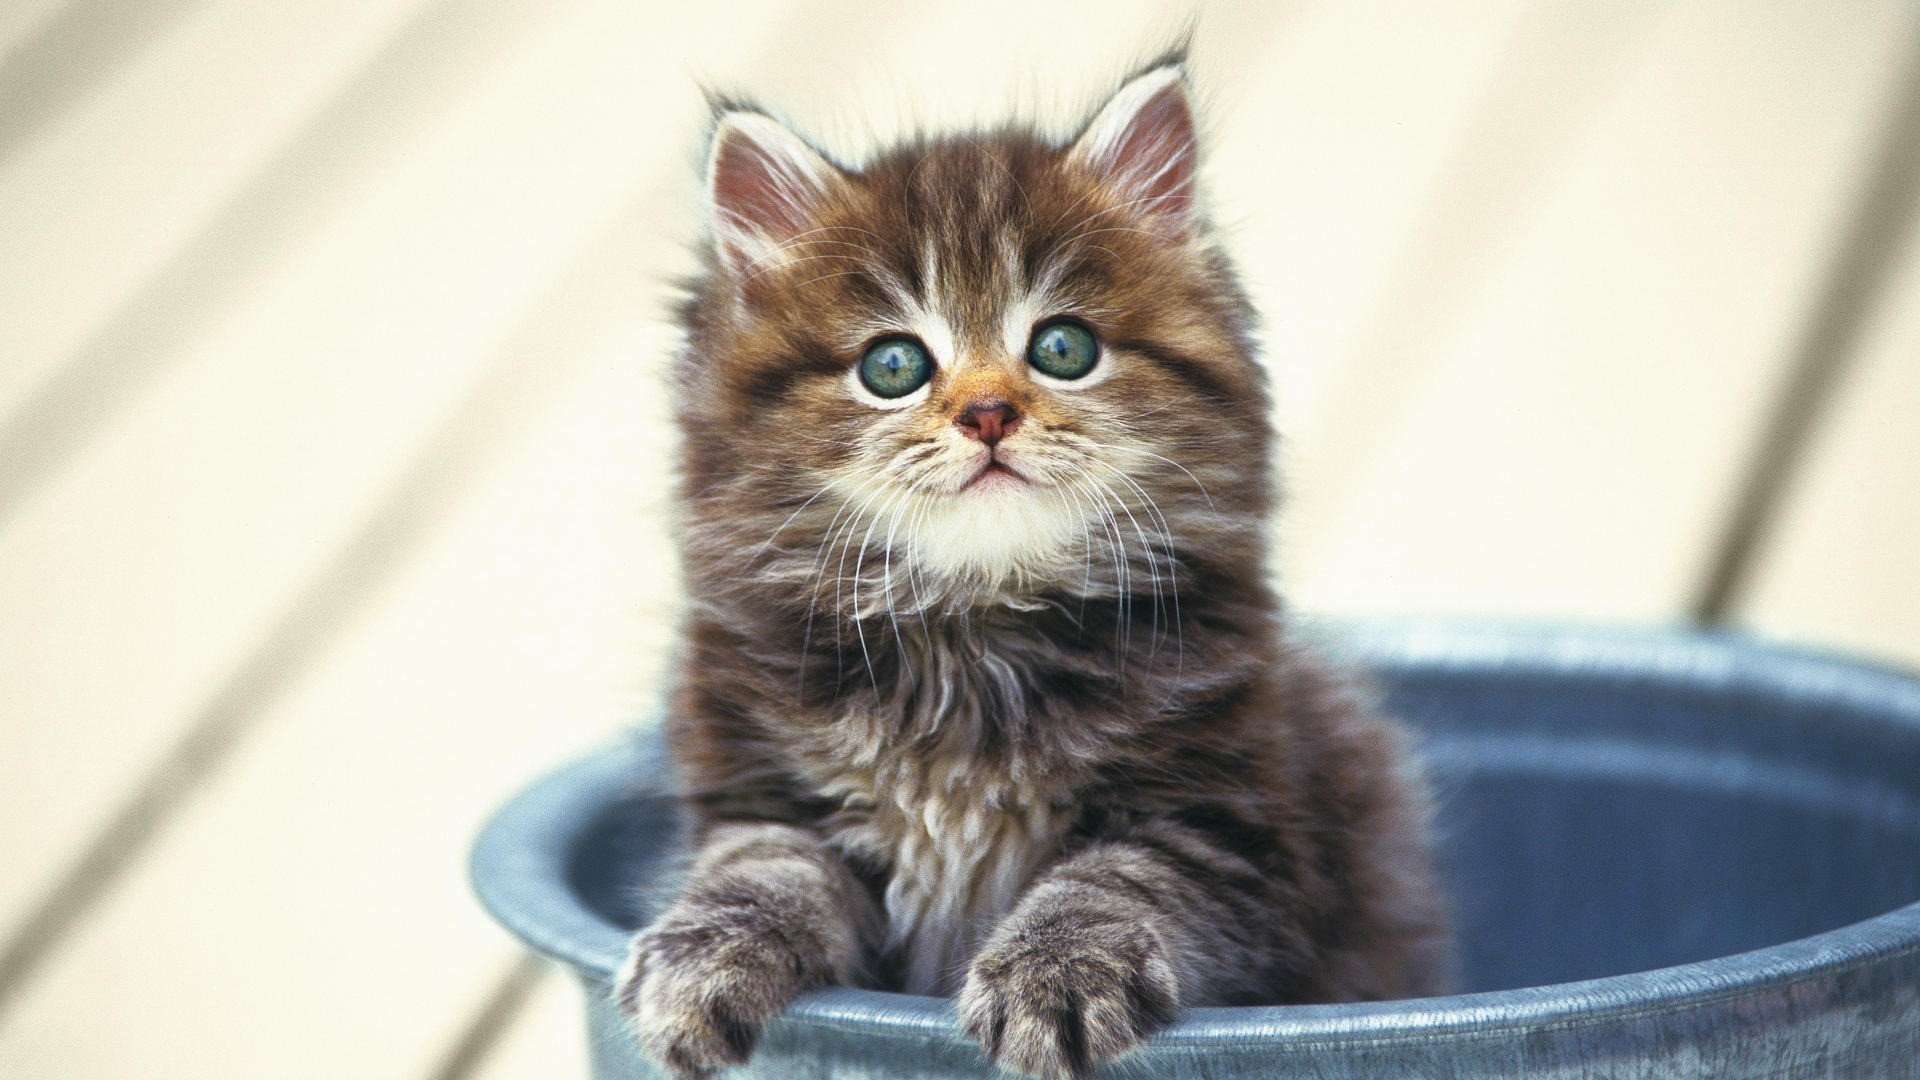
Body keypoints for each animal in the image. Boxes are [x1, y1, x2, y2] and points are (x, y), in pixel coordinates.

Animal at [622, 58, 1443, 1076]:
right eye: (892, 365)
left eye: (1062, 349)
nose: (988, 413)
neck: (970, 635)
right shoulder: (758, 789)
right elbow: (763, 868)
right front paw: (702, 963)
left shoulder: (1226, 825)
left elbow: (1113, 884)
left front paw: (1057, 976)